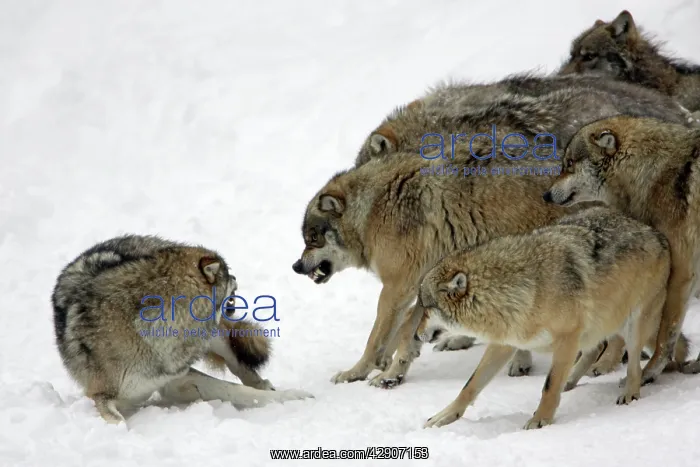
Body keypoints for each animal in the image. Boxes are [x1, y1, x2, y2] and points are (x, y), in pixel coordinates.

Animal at [52, 235, 313, 424]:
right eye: (228, 274)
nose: (236, 276)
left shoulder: (176, 378)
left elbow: (241, 392)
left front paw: (293, 396)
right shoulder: (101, 396)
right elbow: (118, 422)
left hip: (212, 335)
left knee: (237, 361)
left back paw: (262, 381)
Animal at [417, 206, 685, 430]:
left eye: (425, 307)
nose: (417, 335)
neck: (524, 291)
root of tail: (656, 233)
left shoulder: (567, 338)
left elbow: (548, 385)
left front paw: (540, 420)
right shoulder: (505, 344)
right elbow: (470, 385)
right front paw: (445, 416)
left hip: (633, 325)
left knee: (633, 365)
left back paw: (630, 393)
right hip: (599, 325)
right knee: (596, 349)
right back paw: (571, 381)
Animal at [544, 115, 700, 383]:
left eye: (569, 164)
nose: (545, 195)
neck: (651, 174)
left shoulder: (679, 273)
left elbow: (664, 335)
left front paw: (647, 373)